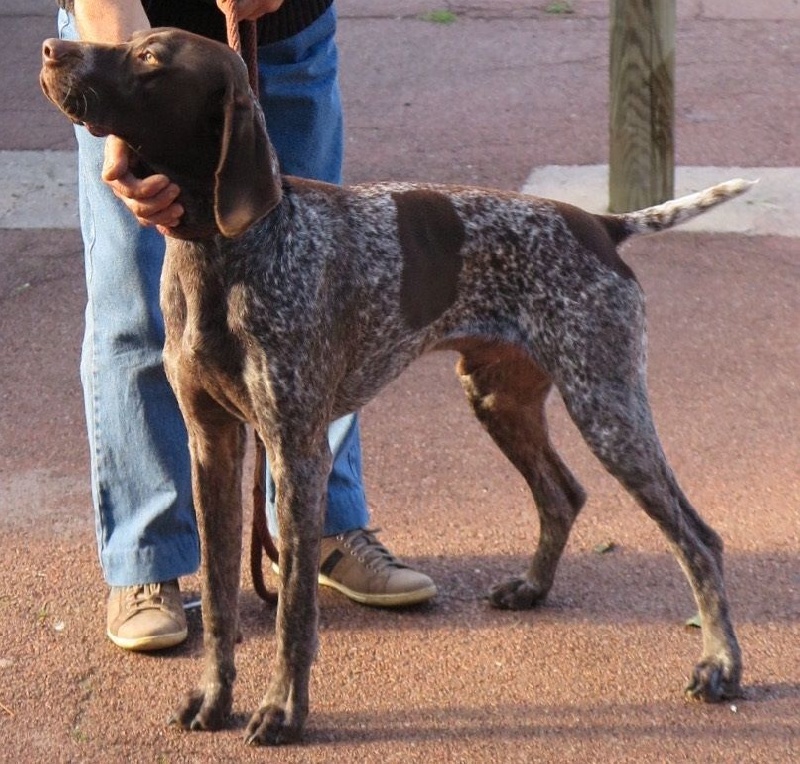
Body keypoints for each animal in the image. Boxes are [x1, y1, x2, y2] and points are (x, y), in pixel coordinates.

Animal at [40, 26, 748, 744]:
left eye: (150, 58)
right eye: (132, 42)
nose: (50, 49)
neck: (220, 253)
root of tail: (600, 224)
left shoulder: (296, 454)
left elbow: (294, 610)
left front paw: (283, 710)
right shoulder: (212, 444)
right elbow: (215, 598)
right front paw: (214, 697)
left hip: (606, 404)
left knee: (698, 539)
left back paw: (720, 666)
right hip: (501, 398)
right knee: (563, 494)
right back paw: (532, 587)